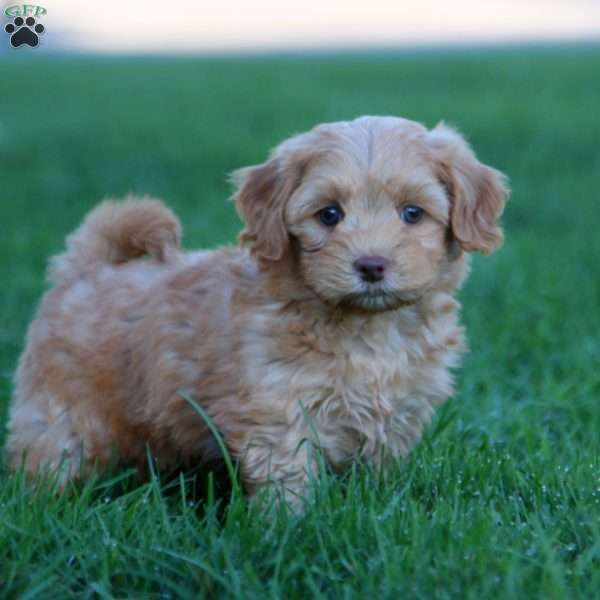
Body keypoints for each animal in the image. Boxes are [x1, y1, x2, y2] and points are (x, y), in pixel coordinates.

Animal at [7, 115, 508, 504]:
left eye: (412, 213)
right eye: (329, 215)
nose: (371, 264)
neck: (366, 330)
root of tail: (85, 269)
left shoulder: (399, 413)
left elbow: (379, 470)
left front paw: (376, 505)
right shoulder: (280, 407)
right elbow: (288, 476)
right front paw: (290, 528)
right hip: (59, 409)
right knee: (49, 454)